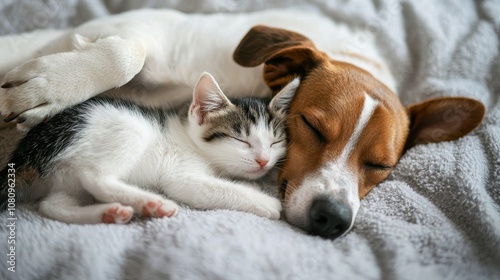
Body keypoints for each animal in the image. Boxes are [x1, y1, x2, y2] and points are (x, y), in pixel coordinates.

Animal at [0, 73, 296, 224]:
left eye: (275, 142)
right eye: (241, 140)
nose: (263, 161)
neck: (189, 138)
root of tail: (27, 151)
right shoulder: (182, 175)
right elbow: (212, 188)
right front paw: (267, 202)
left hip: (62, 179)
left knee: (52, 205)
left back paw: (109, 213)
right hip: (125, 127)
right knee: (95, 177)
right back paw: (152, 203)